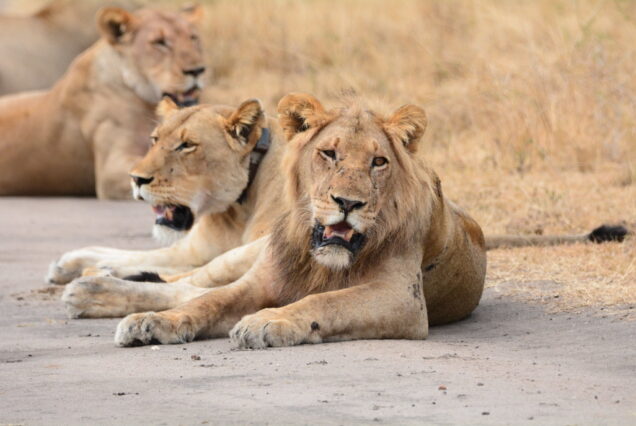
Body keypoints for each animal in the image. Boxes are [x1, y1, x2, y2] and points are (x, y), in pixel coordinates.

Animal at [62, 92, 628, 346]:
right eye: (329, 153)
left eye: (377, 161)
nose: (347, 203)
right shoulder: (261, 278)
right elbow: (206, 302)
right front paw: (156, 324)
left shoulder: (401, 301)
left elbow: (323, 302)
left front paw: (269, 322)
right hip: (249, 251)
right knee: (192, 281)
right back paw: (93, 286)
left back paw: (89, 285)